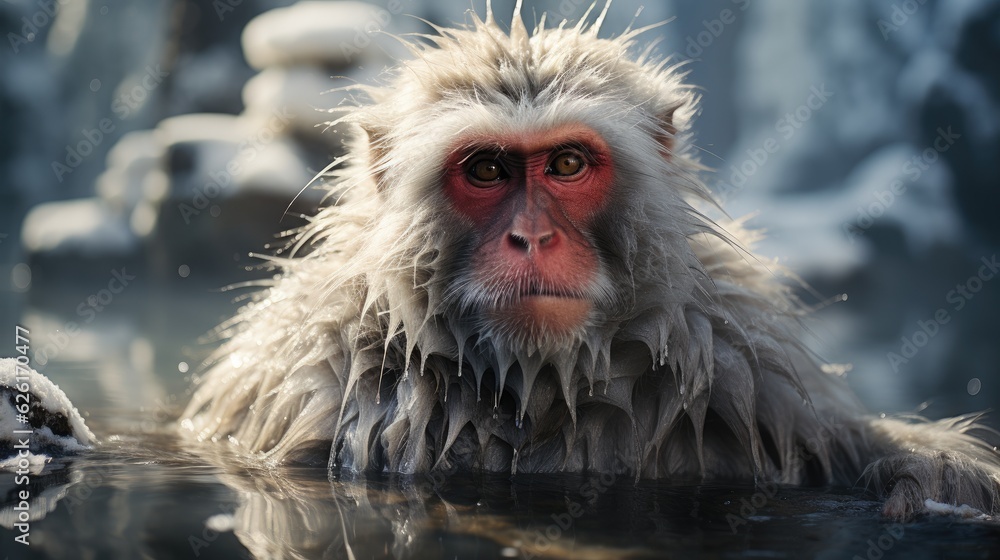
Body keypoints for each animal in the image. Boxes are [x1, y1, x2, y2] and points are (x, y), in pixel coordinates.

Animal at [179, 2, 1000, 520]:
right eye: (487, 171)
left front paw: (930, 472)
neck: (540, 383)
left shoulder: (749, 368)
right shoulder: (298, 381)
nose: (533, 239)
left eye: (568, 163)